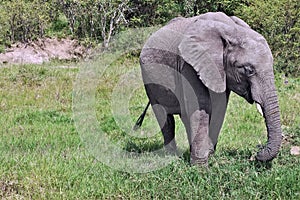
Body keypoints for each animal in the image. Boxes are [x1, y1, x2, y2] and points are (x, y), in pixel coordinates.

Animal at [135, 12, 282, 166]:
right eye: (248, 70)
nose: (258, 152)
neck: (232, 31)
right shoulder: (189, 65)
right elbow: (200, 106)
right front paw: (200, 167)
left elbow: (219, 107)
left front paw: (209, 154)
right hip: (148, 79)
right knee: (164, 116)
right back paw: (172, 155)